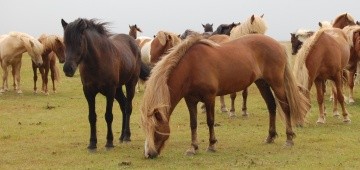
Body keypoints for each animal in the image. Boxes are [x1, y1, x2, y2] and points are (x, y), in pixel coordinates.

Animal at [62, 17, 150, 149]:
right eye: (65, 43)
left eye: (79, 43)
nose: (68, 69)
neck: (98, 62)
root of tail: (133, 43)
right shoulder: (88, 92)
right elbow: (92, 117)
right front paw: (92, 143)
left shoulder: (110, 91)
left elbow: (108, 116)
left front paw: (109, 142)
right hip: (118, 89)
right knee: (123, 105)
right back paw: (121, 136)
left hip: (130, 84)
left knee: (128, 107)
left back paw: (127, 136)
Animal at [141, 34, 310, 158]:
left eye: (155, 128)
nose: (149, 154)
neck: (191, 67)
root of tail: (277, 45)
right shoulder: (190, 101)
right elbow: (193, 123)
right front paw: (193, 148)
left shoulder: (209, 97)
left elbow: (210, 121)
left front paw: (211, 145)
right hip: (261, 83)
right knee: (271, 105)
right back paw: (270, 136)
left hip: (276, 83)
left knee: (285, 106)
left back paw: (289, 139)